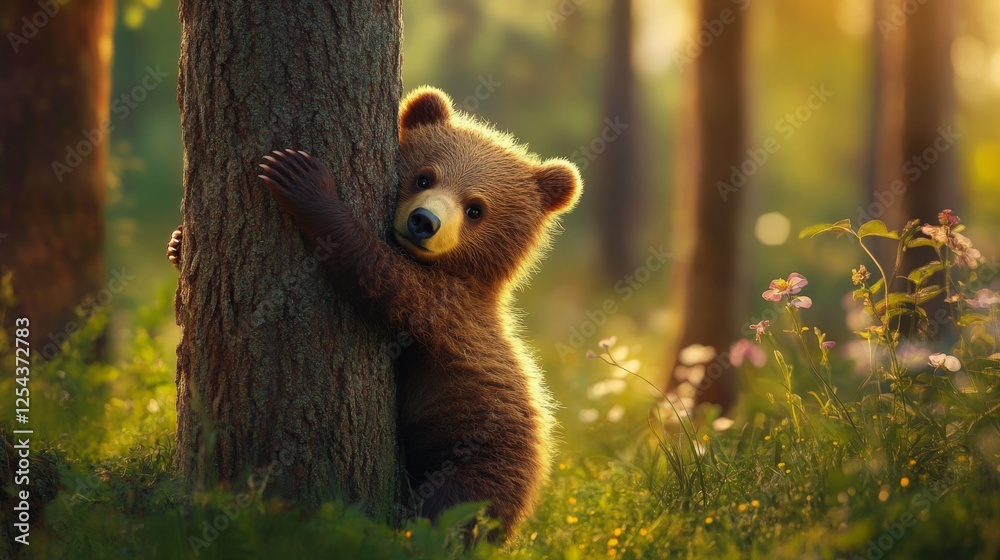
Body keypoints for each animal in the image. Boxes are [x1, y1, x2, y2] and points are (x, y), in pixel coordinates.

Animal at [168, 86, 582, 541]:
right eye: (425, 177)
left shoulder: (446, 309)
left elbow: (380, 277)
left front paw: (301, 180)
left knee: (450, 511)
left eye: (476, 208)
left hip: (483, 455)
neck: (454, 271)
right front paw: (178, 242)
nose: (424, 221)